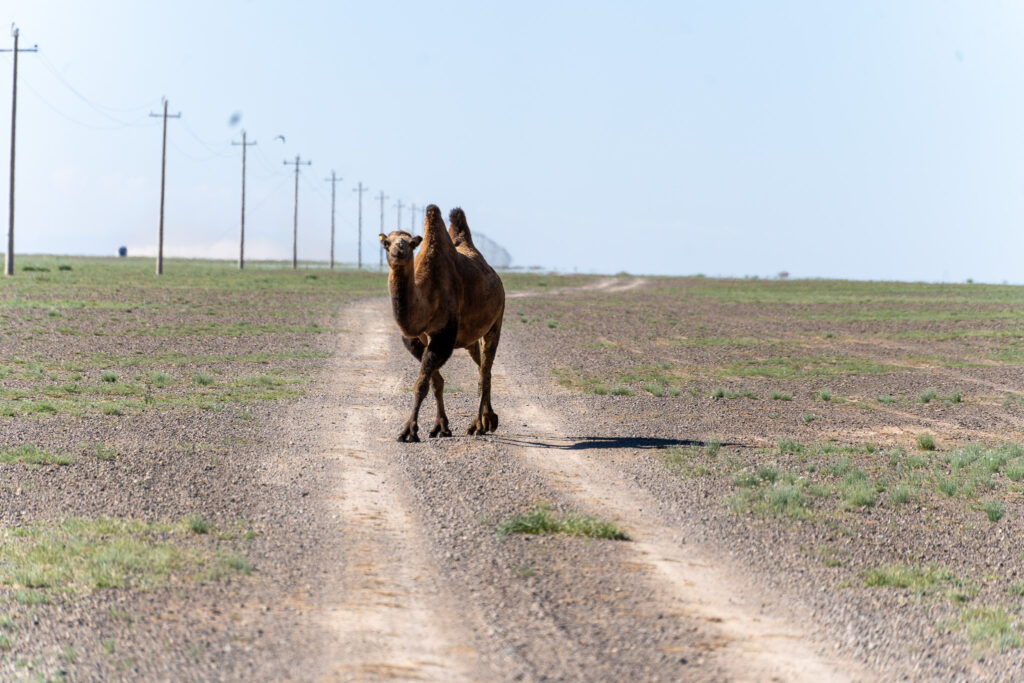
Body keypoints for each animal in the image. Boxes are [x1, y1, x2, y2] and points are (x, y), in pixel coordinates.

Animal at [379, 205, 505, 442]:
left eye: (410, 243)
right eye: (387, 242)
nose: (399, 251)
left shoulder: (442, 334)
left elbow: (421, 383)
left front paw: (409, 431)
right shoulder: (416, 339)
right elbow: (435, 382)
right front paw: (441, 427)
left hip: (496, 320)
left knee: (485, 371)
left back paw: (478, 425)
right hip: (470, 339)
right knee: (482, 367)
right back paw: (487, 420)